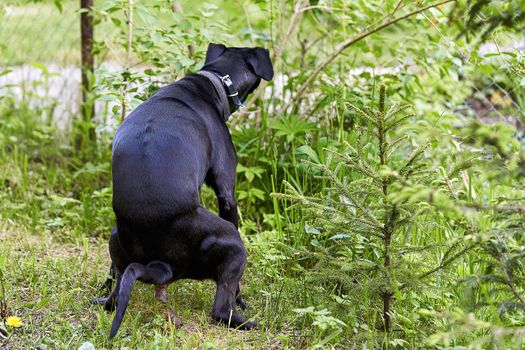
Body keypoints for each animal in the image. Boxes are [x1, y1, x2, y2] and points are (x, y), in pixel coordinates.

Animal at [95, 42, 274, 338]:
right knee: (220, 311)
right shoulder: (226, 192)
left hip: (114, 238)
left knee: (114, 298)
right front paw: (243, 299)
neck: (212, 81)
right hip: (234, 246)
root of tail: (161, 265)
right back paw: (252, 323)